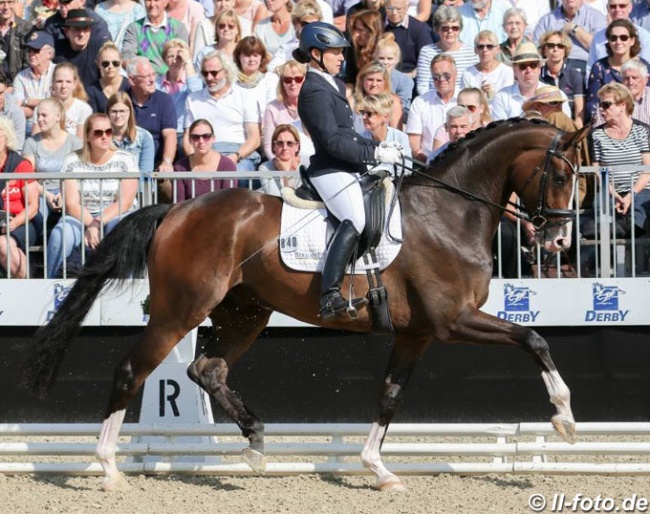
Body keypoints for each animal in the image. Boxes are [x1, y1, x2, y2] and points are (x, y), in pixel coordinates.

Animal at [25, 118, 588, 490]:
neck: (448, 211)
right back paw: (109, 466)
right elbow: (533, 337)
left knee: (208, 370)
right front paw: (564, 417)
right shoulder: (454, 321)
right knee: (132, 369)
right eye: (561, 177)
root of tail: (175, 210)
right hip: (179, 312)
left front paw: (378, 469)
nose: (560, 241)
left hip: (245, 312)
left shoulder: (418, 333)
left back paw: (255, 442)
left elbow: (390, 396)